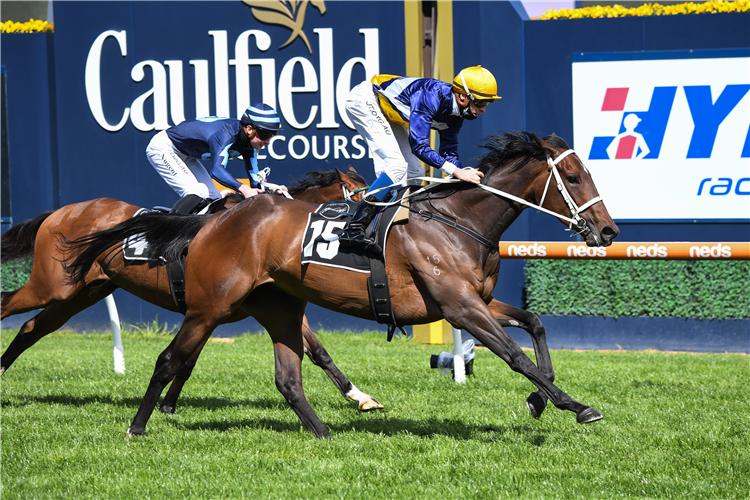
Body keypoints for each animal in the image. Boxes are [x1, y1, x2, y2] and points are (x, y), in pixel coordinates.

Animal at [0, 167, 384, 410]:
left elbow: (318, 351)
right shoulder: (213, 307)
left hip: (79, 294)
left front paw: (360, 396)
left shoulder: (239, 307)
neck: (267, 232)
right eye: (365, 199)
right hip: (51, 286)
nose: (368, 235)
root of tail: (59, 212)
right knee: (7, 305)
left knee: (32, 328)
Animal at [64, 132, 620, 438]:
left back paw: (325, 434)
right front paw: (576, 405)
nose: (609, 231)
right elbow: (514, 354)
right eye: (573, 177)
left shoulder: (475, 299)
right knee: (169, 359)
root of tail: (214, 220)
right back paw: (138, 425)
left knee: (286, 376)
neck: (458, 222)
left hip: (274, 307)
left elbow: (535, 324)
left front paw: (540, 400)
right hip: (209, 307)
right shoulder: (459, 307)